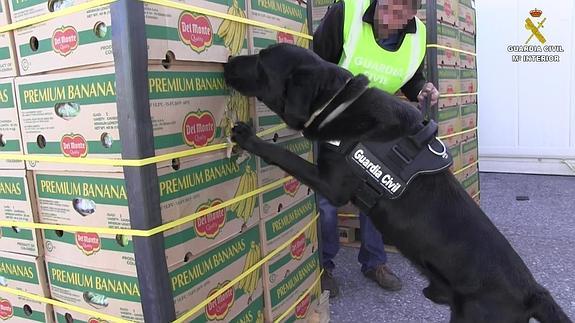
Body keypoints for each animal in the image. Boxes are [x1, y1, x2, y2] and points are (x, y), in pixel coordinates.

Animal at [224, 43, 572, 323]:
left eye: (262, 60)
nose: (227, 61)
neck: (338, 103)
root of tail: (533, 292)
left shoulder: (333, 185)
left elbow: (284, 155)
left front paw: (249, 139)